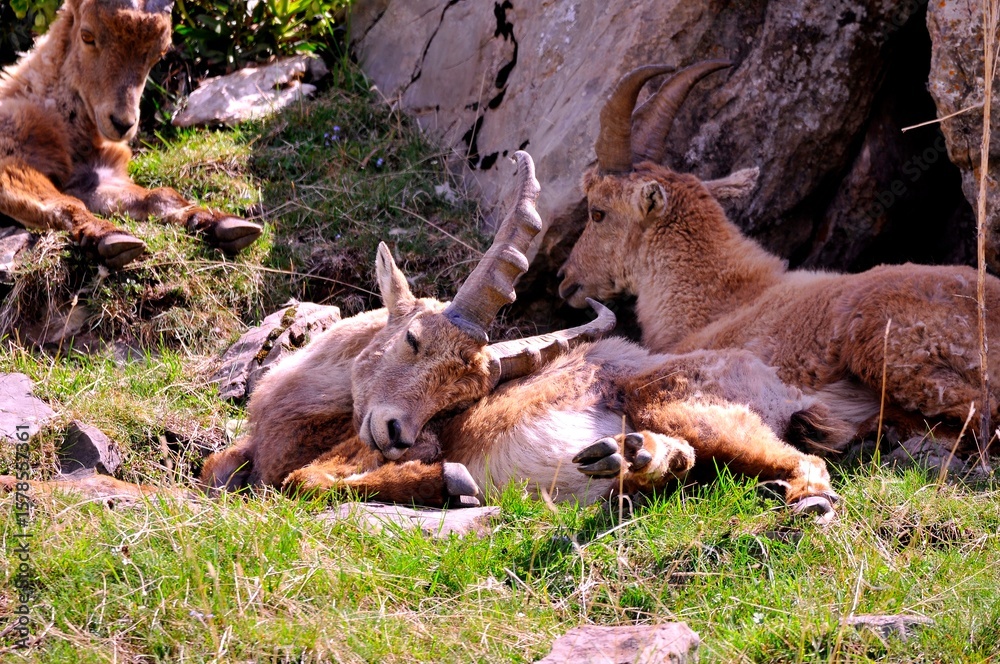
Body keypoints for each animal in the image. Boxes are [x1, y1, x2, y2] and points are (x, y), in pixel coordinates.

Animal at [0, 0, 262, 268]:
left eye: (159, 52)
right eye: (87, 35)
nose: (122, 123)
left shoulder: (92, 177)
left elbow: (160, 195)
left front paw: (224, 222)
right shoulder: (13, 163)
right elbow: (66, 203)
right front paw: (111, 236)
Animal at [199, 152, 843, 520]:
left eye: (462, 397)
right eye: (413, 341)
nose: (397, 434)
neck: (295, 413)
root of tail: (785, 392)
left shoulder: (351, 453)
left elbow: (305, 481)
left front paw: (452, 483)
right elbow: (216, 469)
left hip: (683, 404)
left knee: (808, 466)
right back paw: (630, 463)